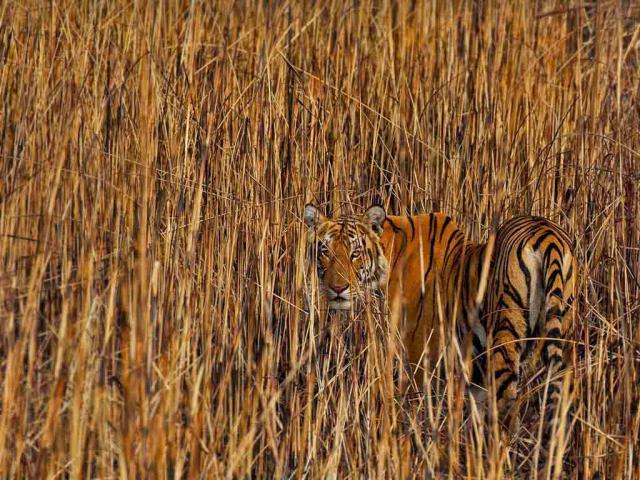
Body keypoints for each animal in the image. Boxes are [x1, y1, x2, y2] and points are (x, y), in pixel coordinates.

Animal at [303, 203, 577, 427]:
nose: (338, 288)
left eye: (355, 253)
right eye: (325, 251)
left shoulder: (420, 356)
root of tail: (547, 236)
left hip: (505, 338)